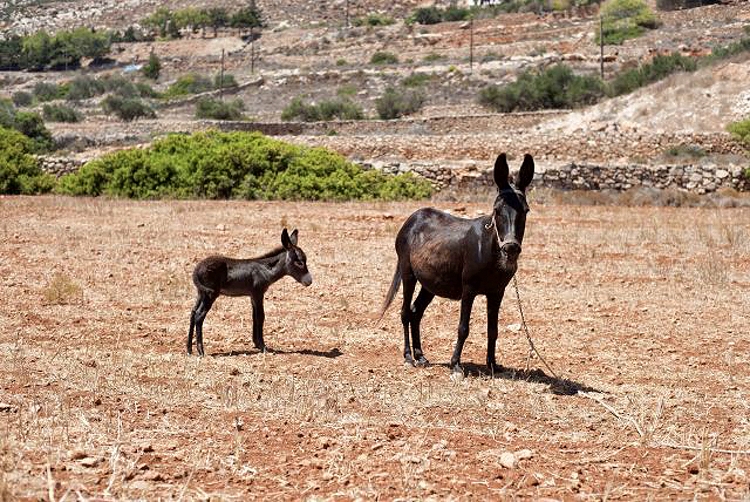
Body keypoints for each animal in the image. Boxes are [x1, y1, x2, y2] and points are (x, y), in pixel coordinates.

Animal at [191, 227, 318, 356]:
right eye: (299, 262)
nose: (309, 281)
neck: (265, 269)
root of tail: (197, 269)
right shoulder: (258, 293)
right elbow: (260, 316)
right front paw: (263, 347)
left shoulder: (252, 296)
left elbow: (254, 317)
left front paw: (256, 344)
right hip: (211, 294)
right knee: (199, 315)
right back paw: (201, 351)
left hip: (202, 293)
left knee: (193, 312)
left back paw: (189, 350)